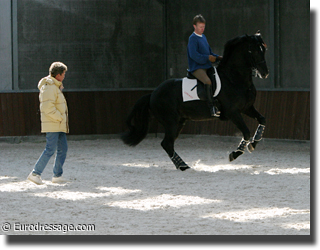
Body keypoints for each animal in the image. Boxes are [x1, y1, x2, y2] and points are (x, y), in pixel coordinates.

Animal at [121, 31, 268, 171]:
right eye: (254, 51)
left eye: (263, 50)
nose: (265, 73)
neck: (234, 78)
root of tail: (153, 94)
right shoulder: (233, 113)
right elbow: (246, 132)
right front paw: (234, 154)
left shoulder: (247, 108)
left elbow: (262, 120)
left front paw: (253, 144)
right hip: (170, 122)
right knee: (167, 143)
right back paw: (183, 166)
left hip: (179, 122)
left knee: (168, 144)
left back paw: (182, 165)